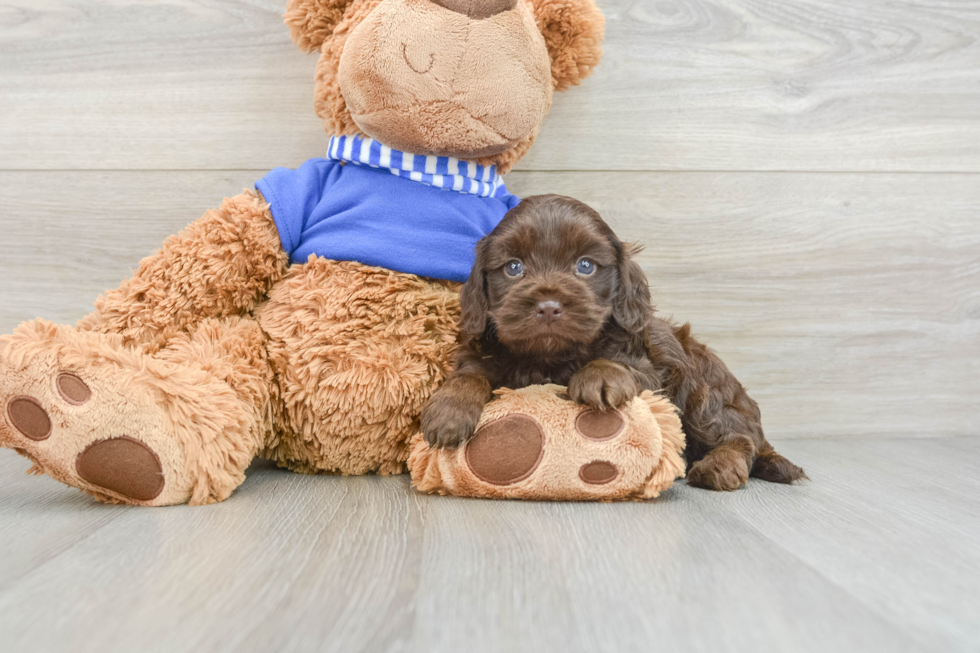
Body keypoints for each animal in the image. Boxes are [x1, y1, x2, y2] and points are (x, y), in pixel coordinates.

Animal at [424, 194, 808, 488]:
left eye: (585, 266)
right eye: (513, 267)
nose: (548, 306)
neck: (549, 356)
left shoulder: (651, 370)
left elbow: (616, 364)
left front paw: (599, 378)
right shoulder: (481, 353)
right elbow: (469, 375)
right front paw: (449, 411)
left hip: (704, 391)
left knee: (738, 438)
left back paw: (719, 466)